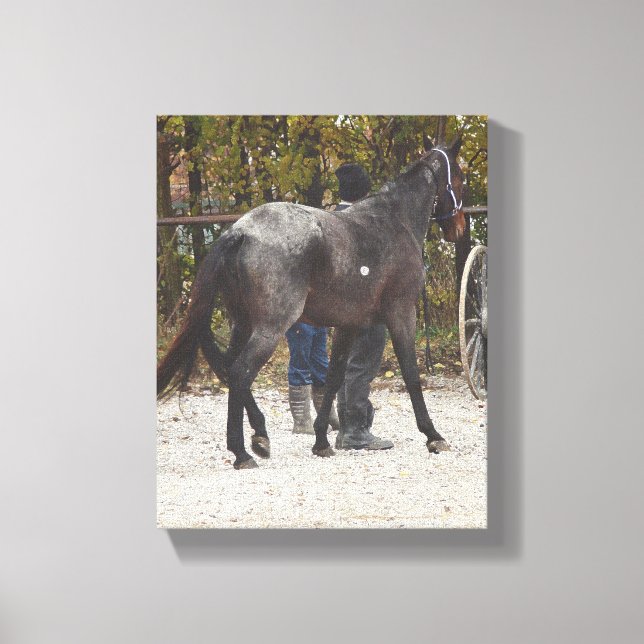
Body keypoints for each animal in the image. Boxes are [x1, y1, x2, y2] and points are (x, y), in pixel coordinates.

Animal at [157, 137, 467, 470]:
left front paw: (321, 441)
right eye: (461, 178)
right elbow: (411, 373)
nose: (459, 228)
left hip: (243, 323)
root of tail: (241, 231)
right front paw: (433, 435)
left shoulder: (347, 325)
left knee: (228, 368)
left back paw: (260, 436)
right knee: (240, 372)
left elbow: (333, 378)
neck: (395, 221)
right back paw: (241, 452)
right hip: (270, 328)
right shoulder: (402, 314)